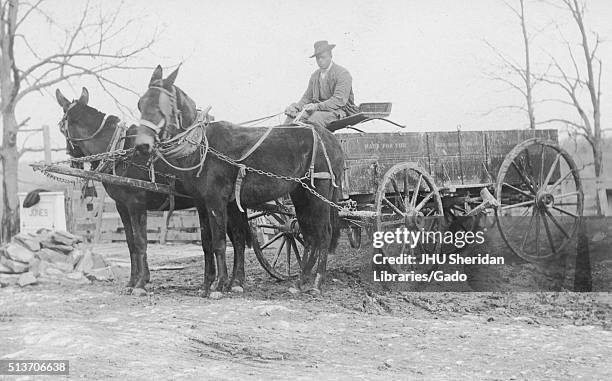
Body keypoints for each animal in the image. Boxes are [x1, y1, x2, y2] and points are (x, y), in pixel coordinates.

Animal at [54, 87, 251, 294]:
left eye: (61, 127)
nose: (71, 158)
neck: (119, 150)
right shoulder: (122, 206)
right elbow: (131, 243)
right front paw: (133, 281)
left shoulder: (136, 203)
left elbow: (141, 242)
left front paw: (141, 283)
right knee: (237, 239)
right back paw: (233, 281)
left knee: (238, 239)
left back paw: (236, 282)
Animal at [131, 65, 344, 292]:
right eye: (141, 103)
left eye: (162, 105)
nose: (142, 145)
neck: (202, 146)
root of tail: (330, 138)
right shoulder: (202, 203)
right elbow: (209, 242)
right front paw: (212, 284)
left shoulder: (217, 200)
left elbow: (220, 242)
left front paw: (219, 286)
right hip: (301, 194)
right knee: (308, 233)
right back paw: (301, 280)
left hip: (320, 191)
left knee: (324, 232)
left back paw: (317, 282)